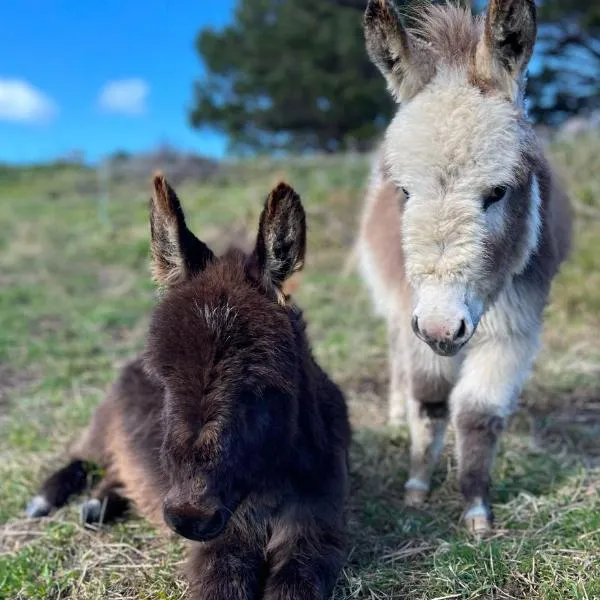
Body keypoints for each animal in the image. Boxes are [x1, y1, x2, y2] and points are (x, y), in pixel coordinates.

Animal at [27, 177, 352, 600]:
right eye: (164, 376)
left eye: (262, 384)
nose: (188, 517)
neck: (267, 485)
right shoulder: (221, 546)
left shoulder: (314, 534)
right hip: (101, 433)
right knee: (82, 459)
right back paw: (46, 501)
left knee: (118, 471)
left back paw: (99, 505)